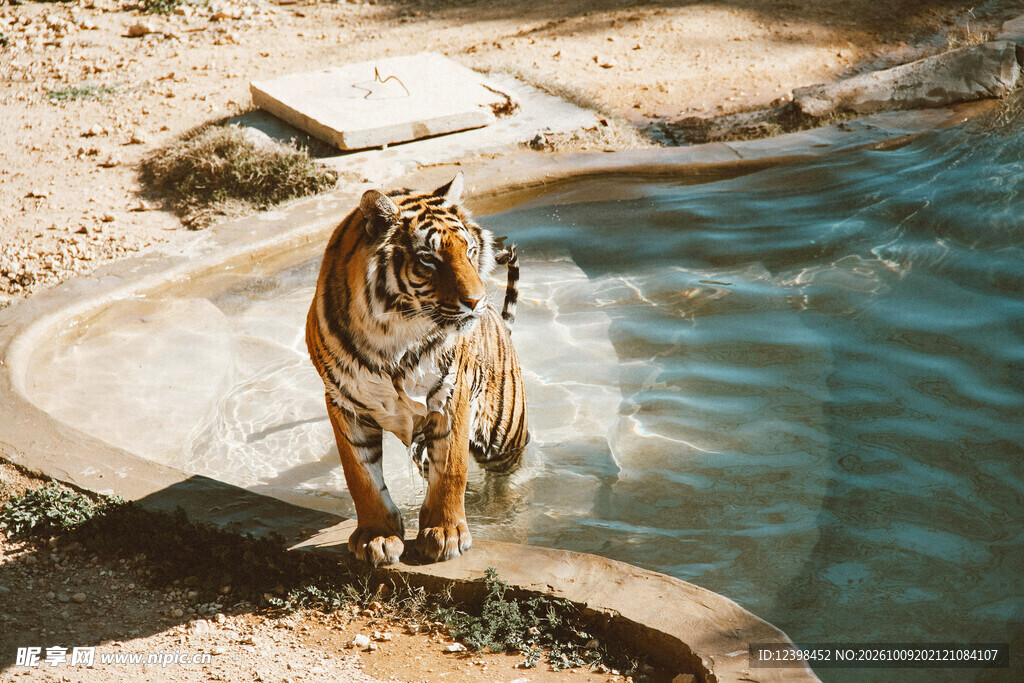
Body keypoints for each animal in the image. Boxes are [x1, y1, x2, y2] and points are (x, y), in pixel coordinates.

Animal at [305, 173, 529, 567]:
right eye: (429, 259)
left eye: (469, 251)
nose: (477, 301)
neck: (392, 335)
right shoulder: (344, 403)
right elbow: (361, 477)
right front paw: (377, 536)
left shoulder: (452, 396)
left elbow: (451, 470)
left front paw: (446, 534)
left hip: (504, 435)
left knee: (507, 477)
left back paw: (502, 510)